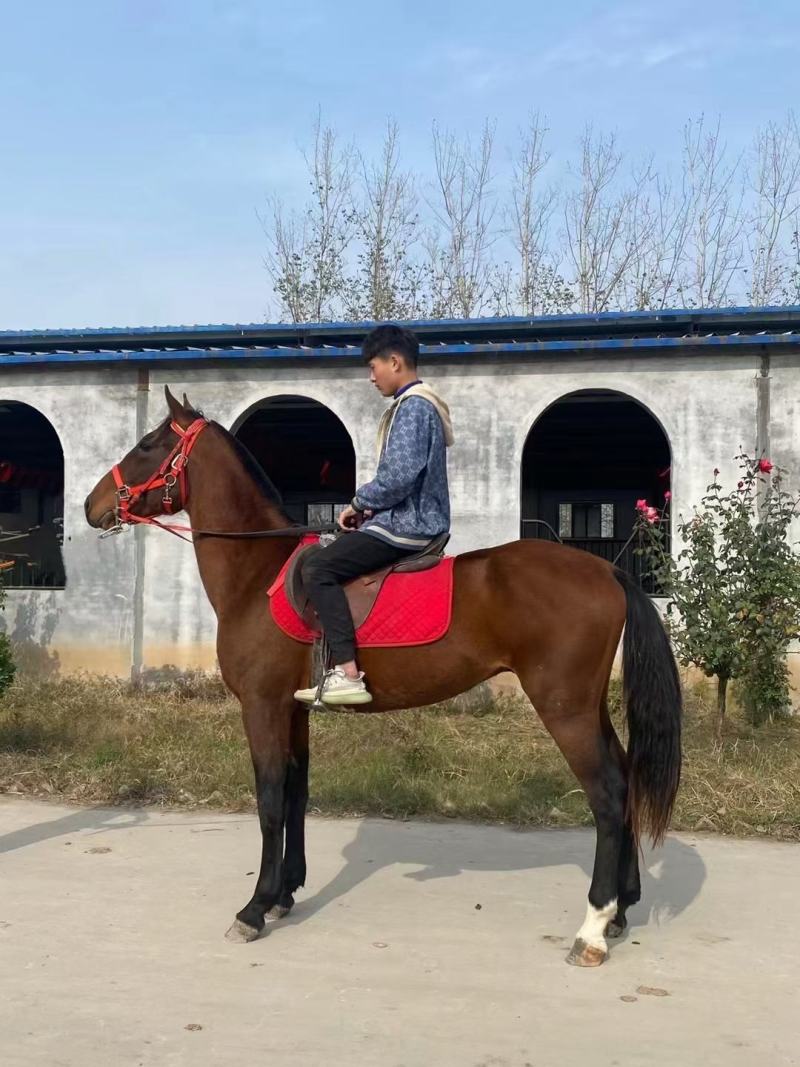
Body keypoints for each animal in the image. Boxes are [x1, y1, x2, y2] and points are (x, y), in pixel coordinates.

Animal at [84, 387, 682, 967]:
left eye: (147, 444)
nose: (91, 506)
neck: (259, 575)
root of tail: (606, 569)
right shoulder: (293, 708)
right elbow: (297, 791)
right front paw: (284, 894)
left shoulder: (262, 705)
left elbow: (270, 799)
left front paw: (254, 909)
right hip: (587, 706)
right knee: (625, 780)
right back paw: (623, 908)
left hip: (564, 708)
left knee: (607, 794)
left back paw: (593, 927)